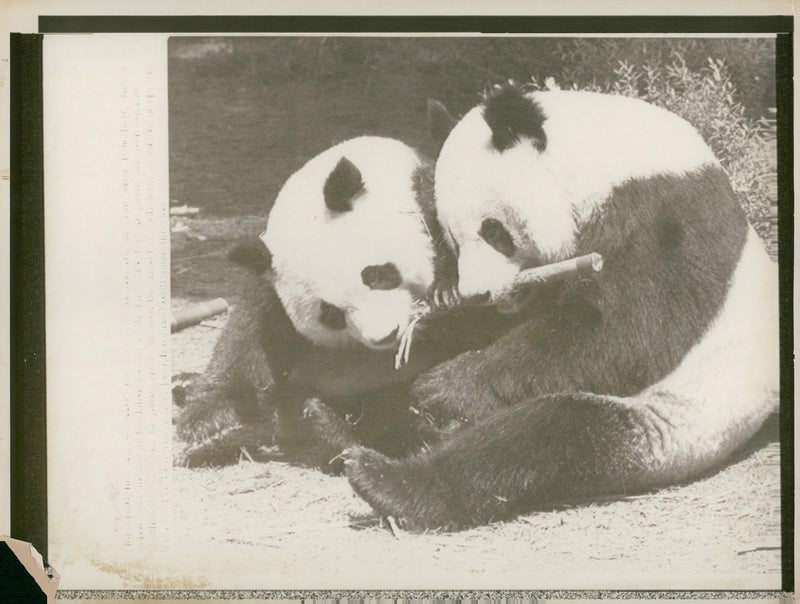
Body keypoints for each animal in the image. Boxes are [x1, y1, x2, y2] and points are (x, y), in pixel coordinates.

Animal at [177, 136, 510, 468]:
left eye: (375, 274)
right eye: (331, 314)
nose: (385, 335)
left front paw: (446, 297)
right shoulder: (269, 291)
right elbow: (246, 344)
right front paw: (209, 425)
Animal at [346, 85, 780, 528]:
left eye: (493, 231)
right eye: (451, 237)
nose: (478, 294)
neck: (601, 157)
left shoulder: (663, 212)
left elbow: (624, 330)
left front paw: (445, 384)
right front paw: (439, 317)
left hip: (669, 427)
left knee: (546, 434)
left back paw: (386, 478)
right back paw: (347, 425)